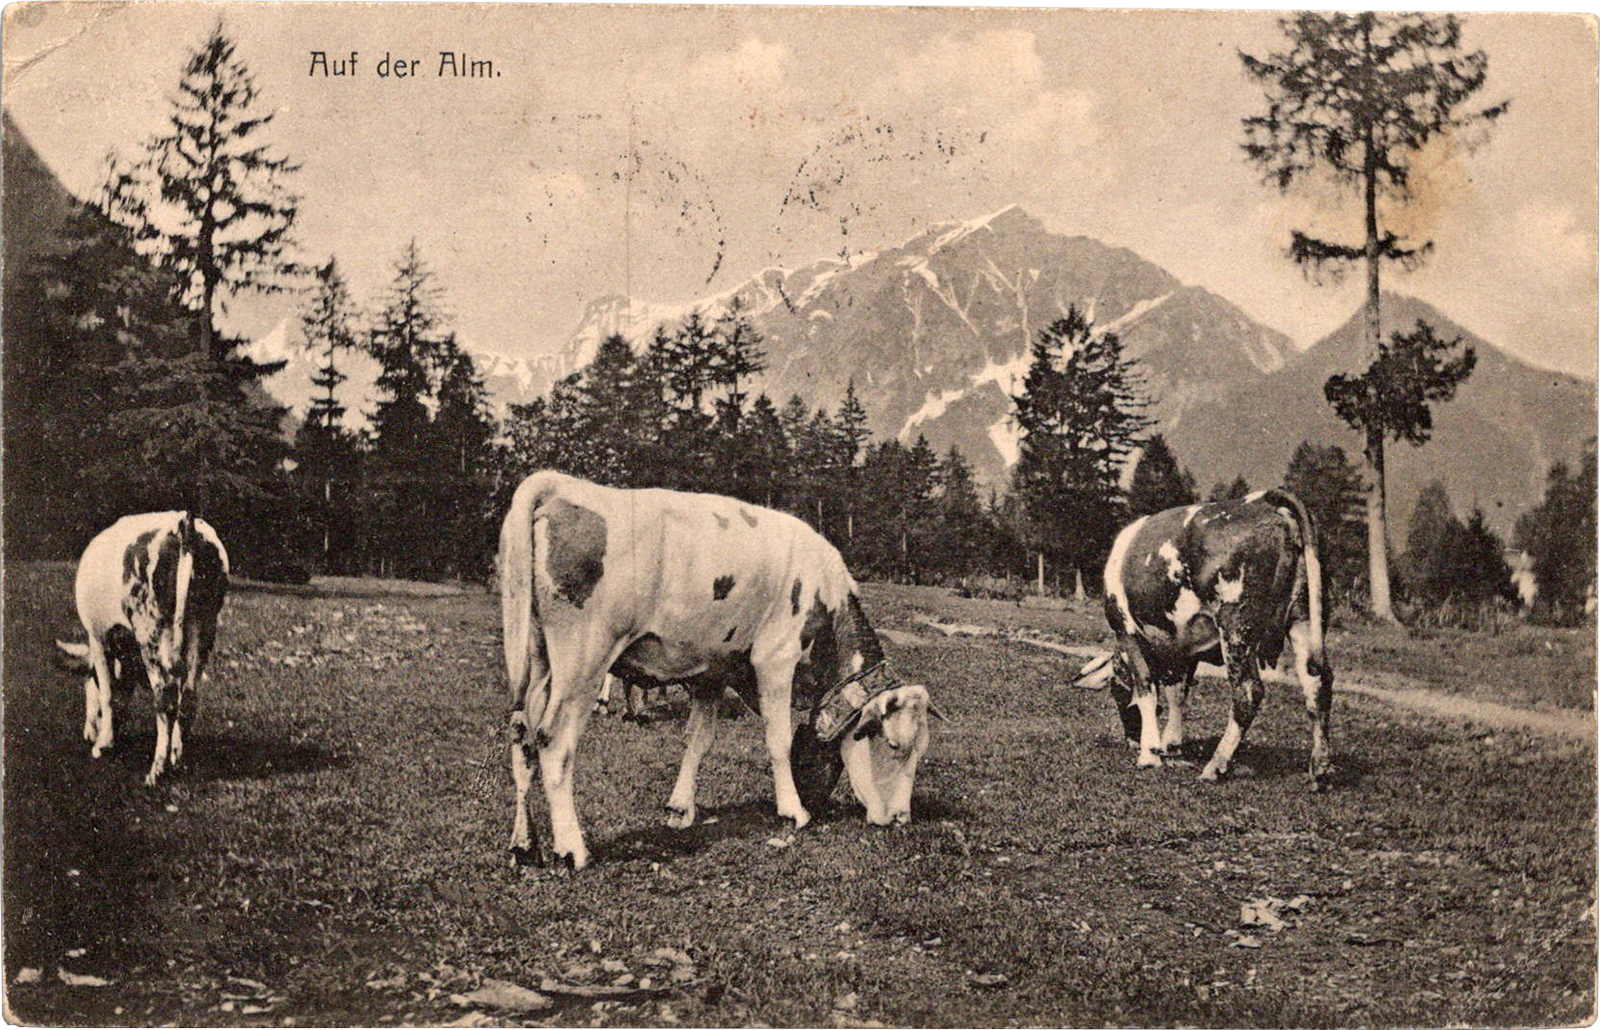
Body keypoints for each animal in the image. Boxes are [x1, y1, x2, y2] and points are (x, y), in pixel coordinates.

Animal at [54, 512, 230, 786]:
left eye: (87, 679)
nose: (87, 734)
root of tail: (184, 522)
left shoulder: (99, 638)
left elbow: (108, 693)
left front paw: (103, 743)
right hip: (205, 625)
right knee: (189, 696)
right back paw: (177, 759)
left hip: (152, 627)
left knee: (166, 697)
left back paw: (157, 770)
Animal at [498, 471, 939, 870]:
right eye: (894, 745)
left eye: (921, 750)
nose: (901, 818)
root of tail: (561, 485)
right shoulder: (775, 658)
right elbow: (777, 740)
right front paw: (793, 811)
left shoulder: (712, 672)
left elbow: (698, 740)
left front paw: (680, 809)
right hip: (584, 657)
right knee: (554, 742)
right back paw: (572, 849)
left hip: (537, 659)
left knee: (521, 734)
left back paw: (524, 844)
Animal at [1075, 489, 1333, 790]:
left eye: (1116, 692)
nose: (1131, 740)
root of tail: (1265, 499)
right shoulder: (1181, 647)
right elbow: (1177, 693)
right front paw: (1171, 747)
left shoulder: (1127, 631)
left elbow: (1147, 690)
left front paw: (1150, 754)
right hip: (1304, 616)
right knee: (1317, 683)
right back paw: (1319, 770)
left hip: (1236, 624)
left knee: (1248, 692)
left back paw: (1216, 765)